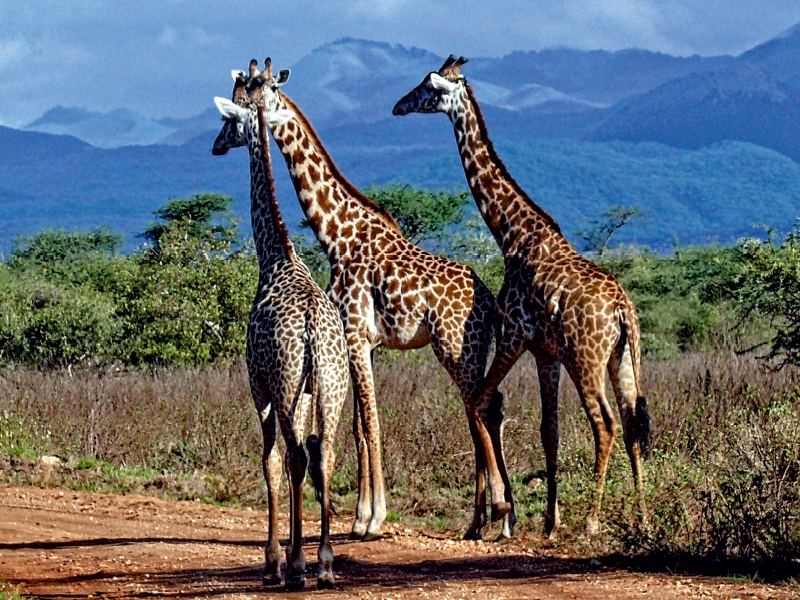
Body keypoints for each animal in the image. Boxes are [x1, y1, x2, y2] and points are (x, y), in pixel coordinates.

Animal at [212, 58, 350, 588]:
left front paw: (274, 559)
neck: (275, 256)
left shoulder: (260, 384)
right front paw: (298, 554)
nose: (215, 144)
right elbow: (303, 461)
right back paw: (325, 562)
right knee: (323, 453)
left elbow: (270, 460)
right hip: (331, 386)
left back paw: (295, 566)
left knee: (292, 455)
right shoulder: (306, 391)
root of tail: (311, 330)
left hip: (288, 383)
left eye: (228, 117)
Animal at [256, 58, 516, 540]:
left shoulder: (356, 334)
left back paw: (498, 510)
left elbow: (369, 422)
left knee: (481, 407)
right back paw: (493, 517)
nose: (397, 106)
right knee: (488, 408)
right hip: (471, 350)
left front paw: (370, 519)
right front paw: (362, 514)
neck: (337, 235)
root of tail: (491, 304)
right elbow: (361, 425)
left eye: (256, 91)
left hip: (455, 348)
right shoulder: (363, 341)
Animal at [392, 55, 648, 536]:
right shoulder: (545, 352)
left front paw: (498, 513)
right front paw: (548, 520)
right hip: (623, 358)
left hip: (586, 359)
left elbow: (480, 402)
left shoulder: (514, 336)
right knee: (631, 422)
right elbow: (550, 430)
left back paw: (592, 521)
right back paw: (642, 517)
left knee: (605, 424)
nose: (398, 106)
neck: (512, 234)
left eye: (427, 88)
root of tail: (623, 310)